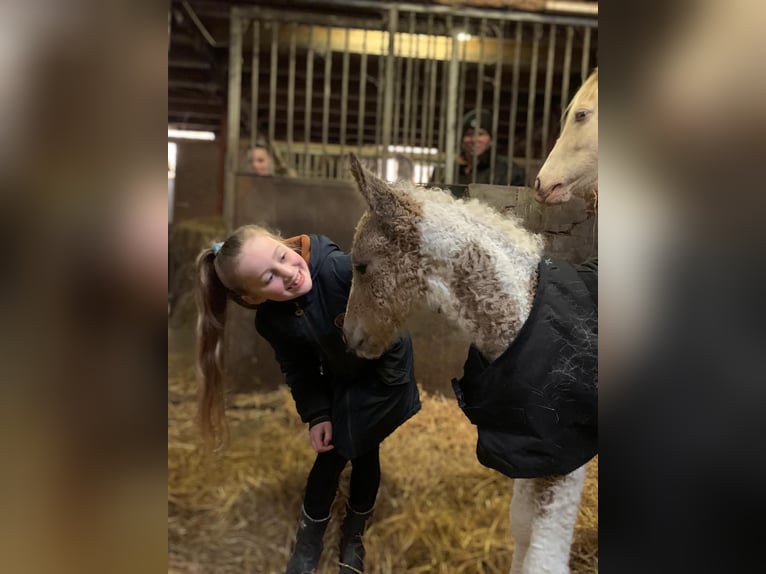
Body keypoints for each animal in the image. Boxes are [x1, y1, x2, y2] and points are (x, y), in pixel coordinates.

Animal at [341, 151, 597, 572]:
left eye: (361, 265)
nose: (350, 336)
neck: (523, 319)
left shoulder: (564, 451)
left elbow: (542, 557)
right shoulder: (529, 447)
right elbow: (520, 525)